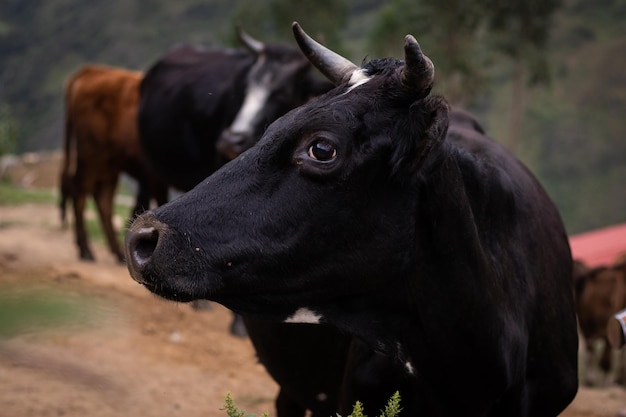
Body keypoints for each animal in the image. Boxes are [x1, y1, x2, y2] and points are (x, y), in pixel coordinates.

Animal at [60, 64, 167, 260]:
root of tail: (89, 71)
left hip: (108, 167)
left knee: (103, 200)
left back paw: (116, 250)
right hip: (90, 157)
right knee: (80, 194)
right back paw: (86, 250)